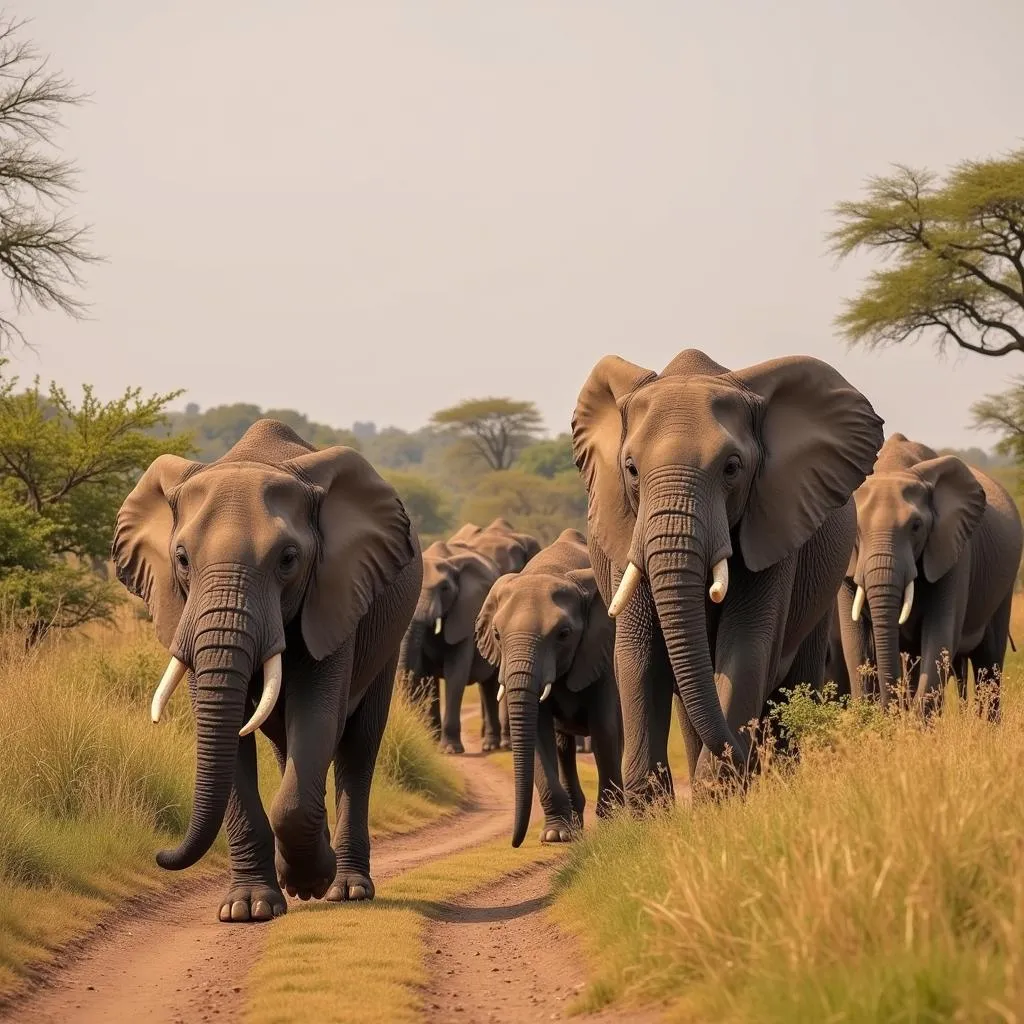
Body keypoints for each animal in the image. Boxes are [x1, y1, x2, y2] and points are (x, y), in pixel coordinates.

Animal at [115, 415, 423, 921]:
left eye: (288, 559)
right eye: (181, 559)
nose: (160, 854)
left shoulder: (334, 593)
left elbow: (317, 713)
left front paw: (311, 880)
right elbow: (227, 732)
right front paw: (248, 909)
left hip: (388, 637)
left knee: (358, 747)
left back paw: (347, 888)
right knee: (285, 745)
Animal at [473, 528, 622, 847]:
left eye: (564, 634)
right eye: (497, 634)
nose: (515, 842)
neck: (551, 570)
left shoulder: (601, 650)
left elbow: (605, 729)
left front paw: (613, 827)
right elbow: (539, 734)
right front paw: (556, 835)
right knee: (562, 744)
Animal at [573, 348, 884, 802]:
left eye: (732, 468)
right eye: (631, 469)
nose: (743, 755)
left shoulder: (773, 520)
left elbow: (746, 646)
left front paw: (720, 794)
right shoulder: (626, 530)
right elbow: (638, 654)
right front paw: (653, 810)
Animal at [835, 430, 1019, 712]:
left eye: (916, 526)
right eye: (855, 527)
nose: (891, 710)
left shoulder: (954, 550)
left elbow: (940, 636)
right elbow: (856, 645)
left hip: (1002, 586)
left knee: (988, 665)